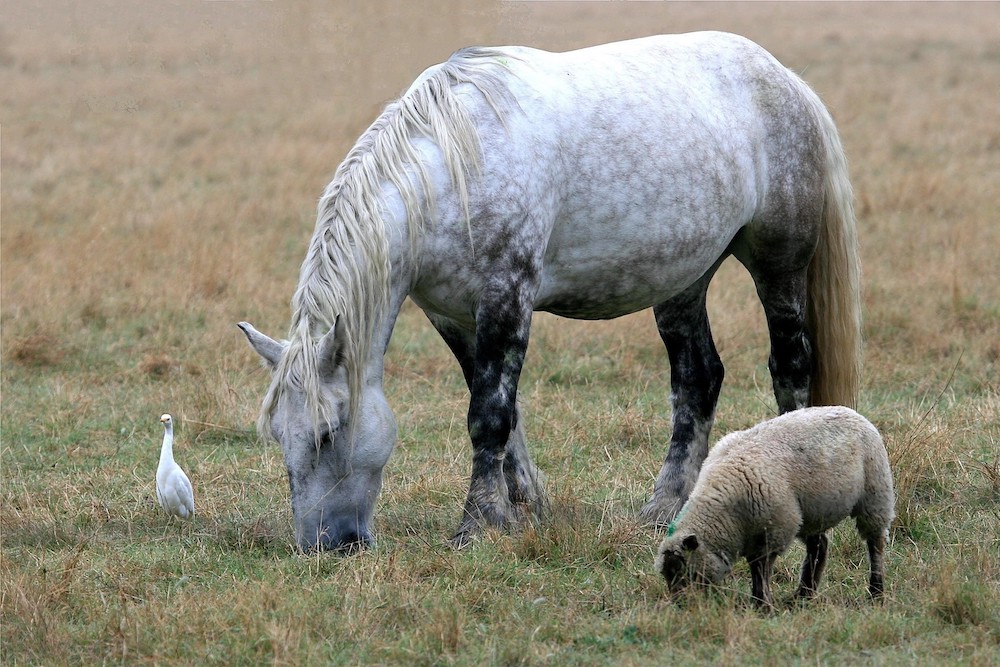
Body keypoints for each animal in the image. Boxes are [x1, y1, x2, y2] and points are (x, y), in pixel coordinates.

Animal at [236, 32, 860, 552]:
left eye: (327, 433)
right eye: (281, 437)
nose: (325, 545)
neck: (454, 165)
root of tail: (787, 80)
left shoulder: (506, 299)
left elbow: (487, 415)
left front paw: (477, 525)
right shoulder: (453, 317)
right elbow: (498, 410)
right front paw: (521, 509)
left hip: (778, 266)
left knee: (790, 366)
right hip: (684, 282)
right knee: (697, 381)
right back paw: (663, 511)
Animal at [652, 408, 896, 612]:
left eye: (683, 571)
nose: (680, 604)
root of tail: (851, 411)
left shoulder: (773, 532)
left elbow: (760, 569)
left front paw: (763, 604)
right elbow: (757, 568)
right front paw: (761, 602)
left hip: (875, 496)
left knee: (875, 544)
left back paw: (876, 592)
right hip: (810, 514)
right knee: (819, 547)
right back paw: (803, 595)